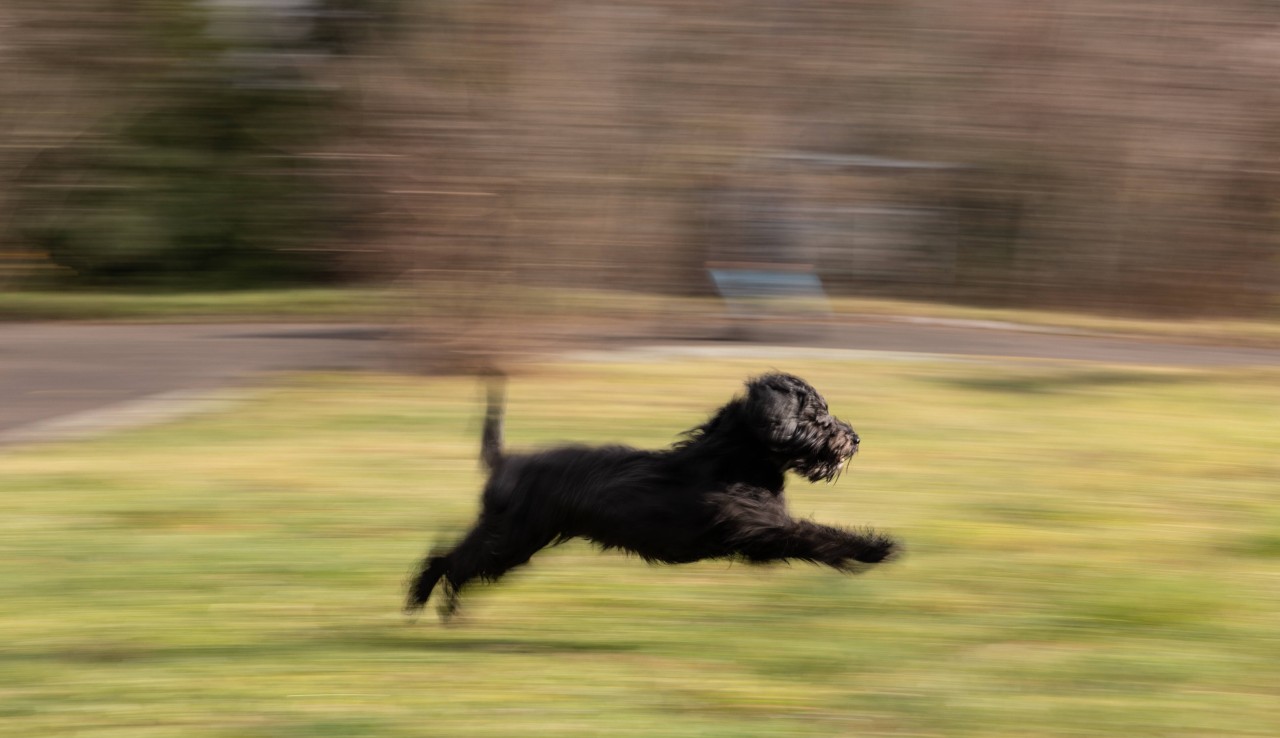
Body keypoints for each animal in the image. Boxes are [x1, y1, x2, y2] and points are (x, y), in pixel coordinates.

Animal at [404, 370, 896, 619]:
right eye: (816, 415)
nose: (855, 438)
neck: (734, 458)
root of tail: (506, 461)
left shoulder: (759, 533)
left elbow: (815, 537)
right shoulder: (758, 528)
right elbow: (816, 535)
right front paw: (874, 548)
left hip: (516, 539)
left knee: (459, 558)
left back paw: (441, 605)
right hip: (512, 537)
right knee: (451, 560)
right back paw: (425, 598)